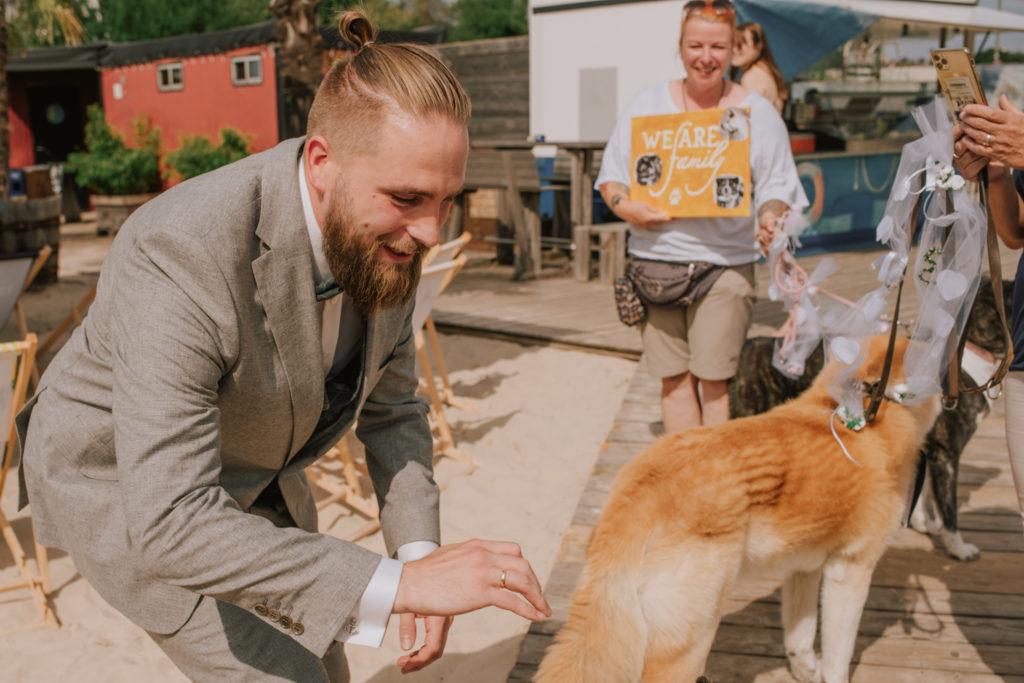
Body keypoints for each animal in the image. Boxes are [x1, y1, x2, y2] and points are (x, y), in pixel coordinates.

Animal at [540, 337, 937, 683]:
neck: (872, 407)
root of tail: (644, 486)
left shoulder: (804, 569)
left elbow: (799, 641)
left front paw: (805, 672)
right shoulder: (850, 571)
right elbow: (838, 660)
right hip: (691, 641)